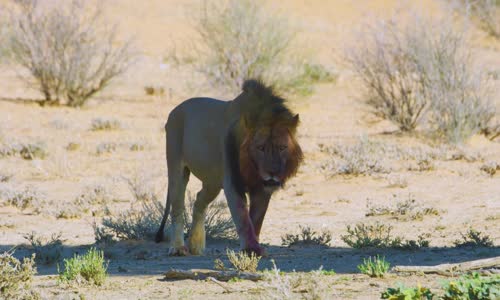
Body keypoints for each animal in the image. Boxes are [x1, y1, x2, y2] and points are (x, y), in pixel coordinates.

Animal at [155, 79, 304, 255]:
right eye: (260, 147)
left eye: (282, 147)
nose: (273, 172)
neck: (252, 167)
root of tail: (174, 110)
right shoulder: (232, 181)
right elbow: (242, 217)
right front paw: (251, 249)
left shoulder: (261, 188)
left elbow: (256, 219)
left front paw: (252, 248)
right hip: (177, 168)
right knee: (177, 207)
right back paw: (178, 248)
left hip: (212, 182)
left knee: (199, 200)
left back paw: (195, 245)